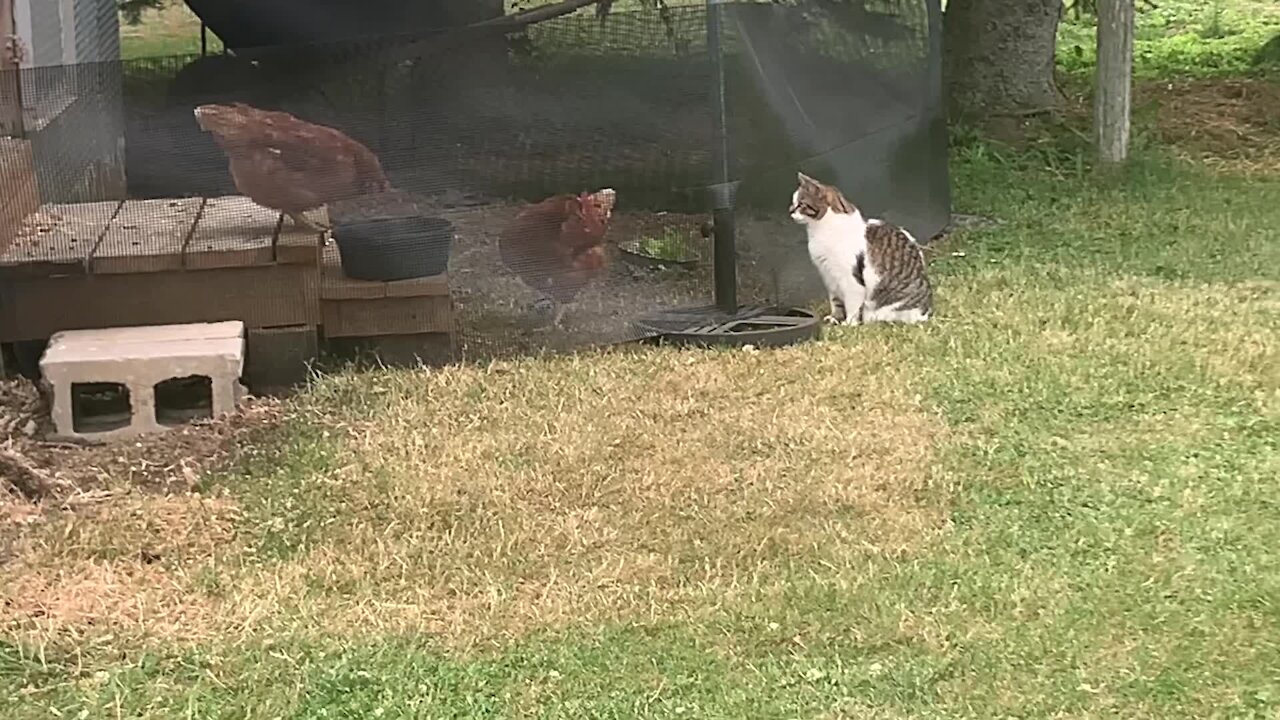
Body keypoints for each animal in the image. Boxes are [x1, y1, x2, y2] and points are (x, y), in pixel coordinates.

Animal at [783, 170, 936, 322]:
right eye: (793, 203)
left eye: (800, 204)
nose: (790, 210)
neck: (819, 230)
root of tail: (925, 313)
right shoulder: (830, 278)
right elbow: (836, 302)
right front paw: (835, 319)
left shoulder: (850, 280)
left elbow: (852, 306)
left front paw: (849, 323)